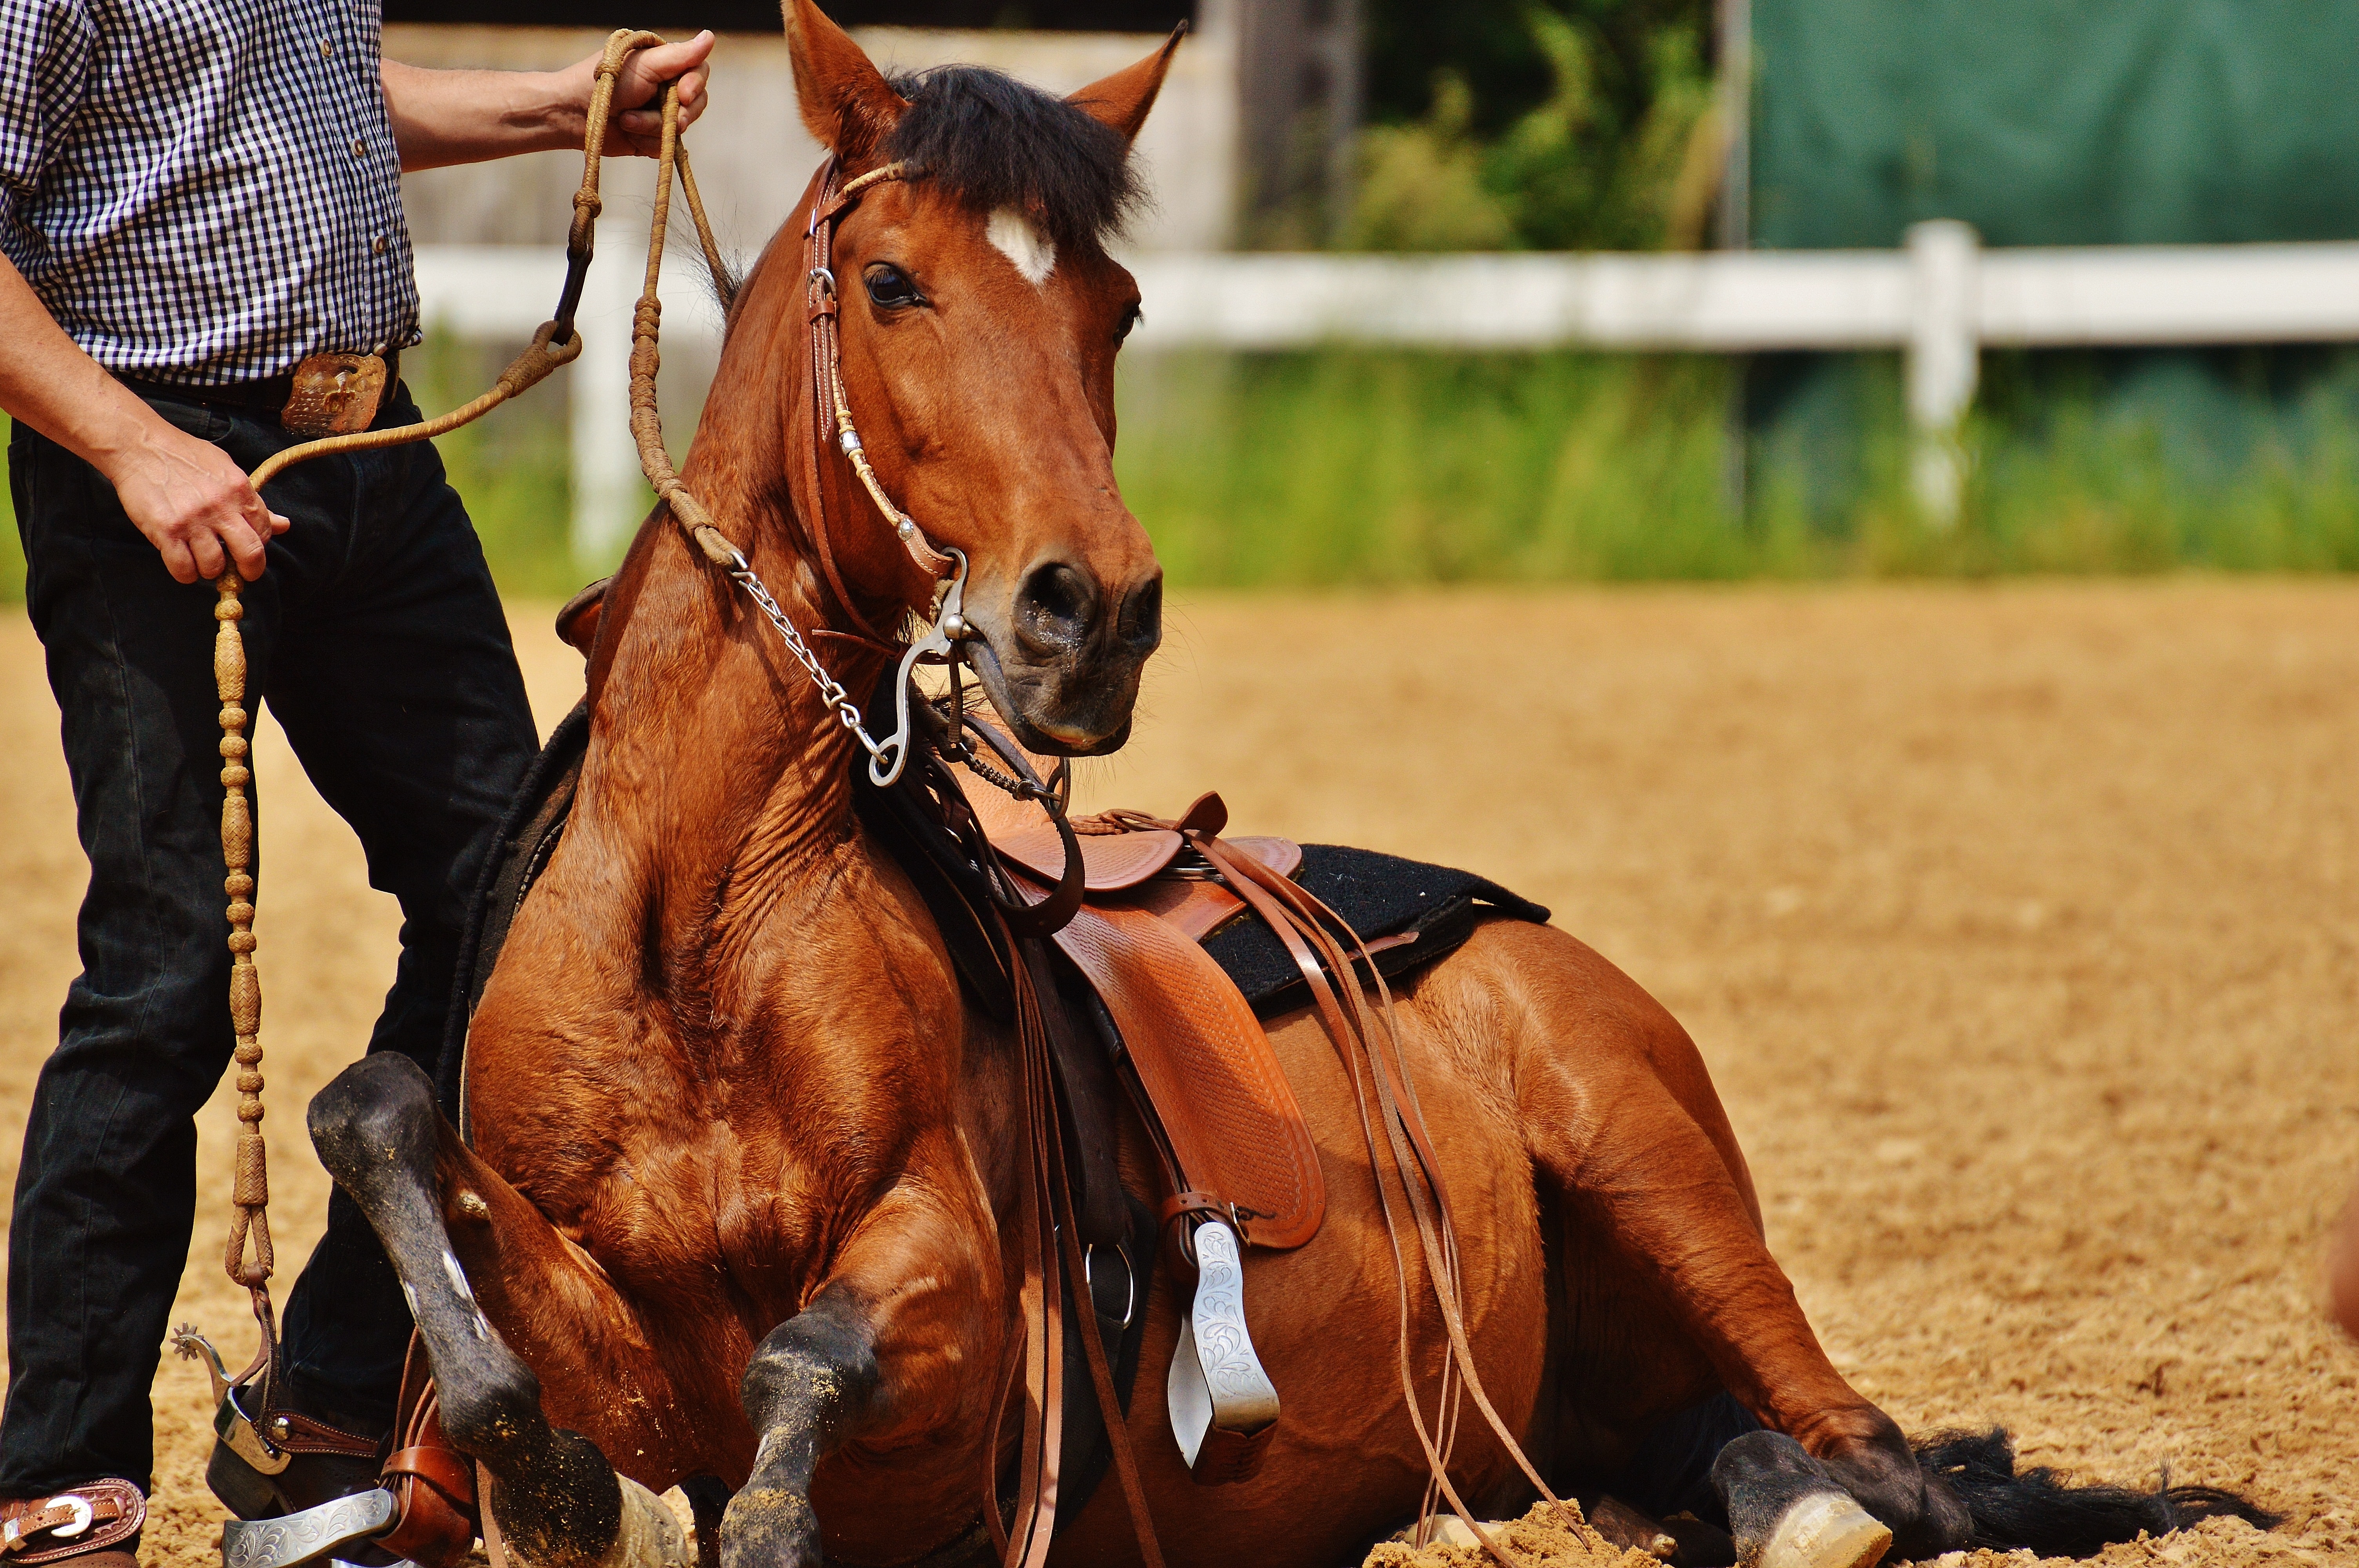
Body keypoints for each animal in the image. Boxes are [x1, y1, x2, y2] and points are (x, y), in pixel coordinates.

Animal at [309, 12, 2264, 1565]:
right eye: (890, 282)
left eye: (1114, 306)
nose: (1088, 611)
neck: (700, 925)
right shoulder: (585, 1287)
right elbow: (389, 1135)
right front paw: (542, 1472)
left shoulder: (959, 1300)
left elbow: (808, 1363)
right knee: (1699, 1444)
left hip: (1654, 1164)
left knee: (1879, 1456)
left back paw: (1820, 1506)